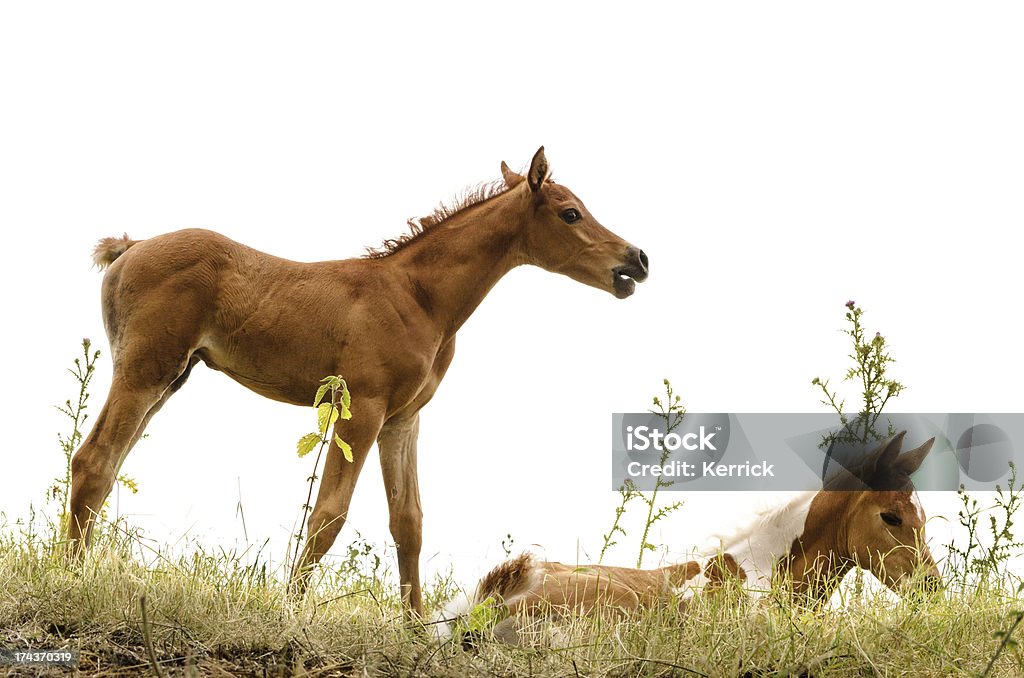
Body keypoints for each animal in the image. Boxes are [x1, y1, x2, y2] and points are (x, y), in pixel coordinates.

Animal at [70, 148, 647, 614]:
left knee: (107, 462)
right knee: (93, 459)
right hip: (146, 369)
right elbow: (328, 514)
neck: (418, 297)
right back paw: (71, 575)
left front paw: (415, 628)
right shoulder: (362, 407)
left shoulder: (402, 419)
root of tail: (132, 246)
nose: (637, 260)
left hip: (170, 378)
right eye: (570, 212)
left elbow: (408, 522)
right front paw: (290, 611)